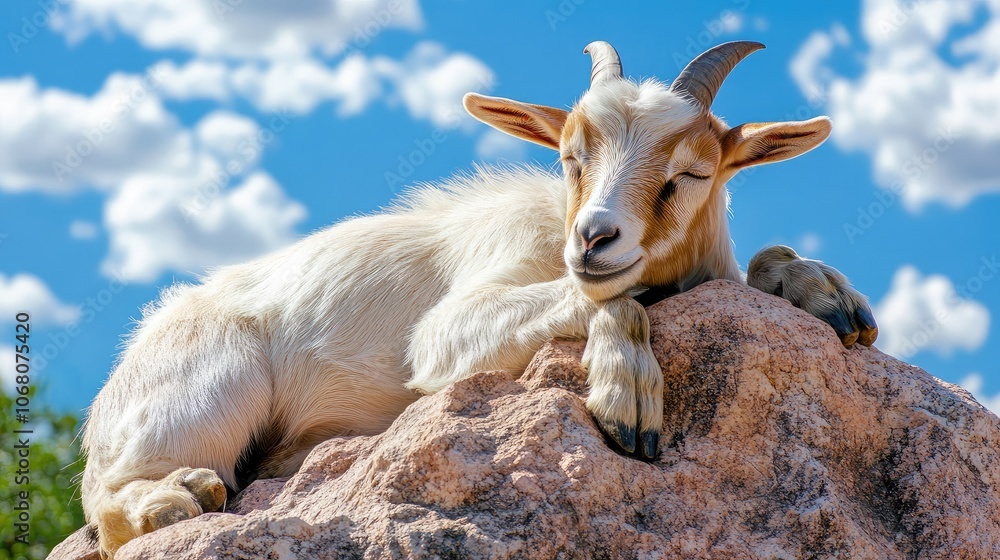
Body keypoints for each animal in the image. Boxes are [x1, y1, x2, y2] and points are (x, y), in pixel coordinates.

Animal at [80, 41, 877, 557]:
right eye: (570, 158)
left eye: (690, 173)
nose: (594, 240)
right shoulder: (452, 326)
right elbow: (619, 303)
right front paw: (628, 403)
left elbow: (765, 262)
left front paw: (831, 298)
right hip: (209, 386)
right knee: (109, 508)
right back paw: (177, 498)